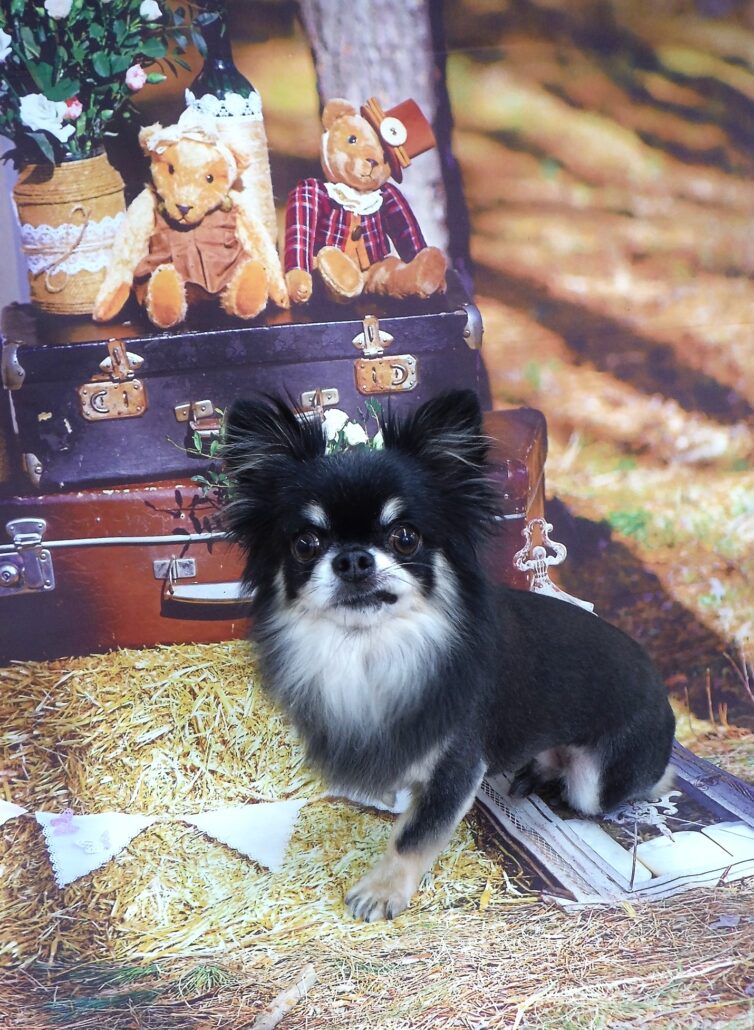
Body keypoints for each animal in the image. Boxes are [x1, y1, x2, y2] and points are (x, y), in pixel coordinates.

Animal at [222, 390, 676, 922]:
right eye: (305, 543)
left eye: (405, 537)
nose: (353, 559)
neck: (372, 648)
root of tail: (663, 693)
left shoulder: (458, 764)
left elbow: (416, 834)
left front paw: (382, 891)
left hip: (599, 782)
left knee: (641, 783)